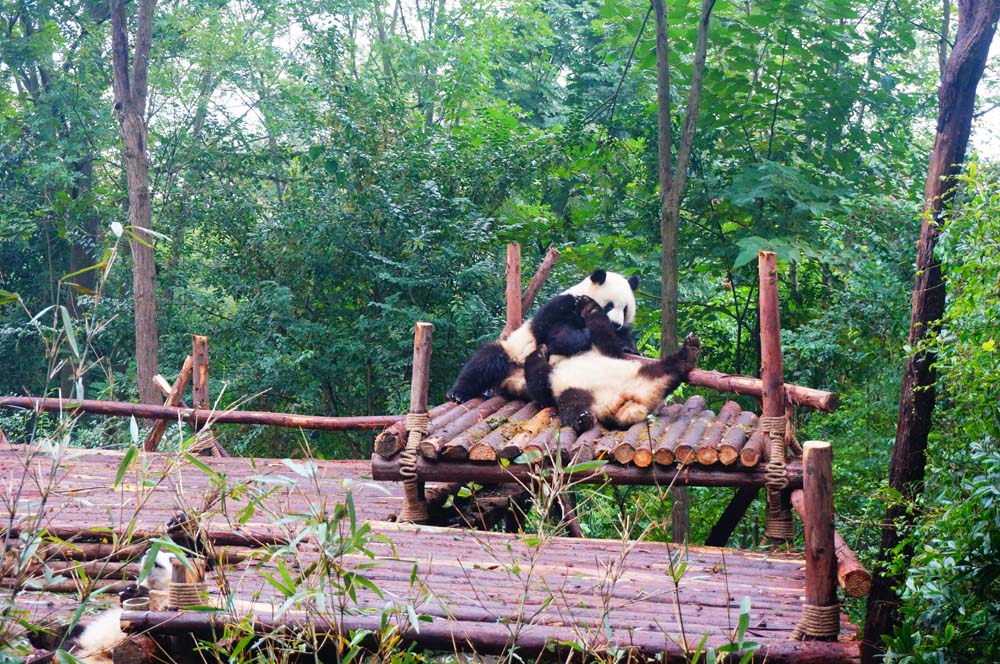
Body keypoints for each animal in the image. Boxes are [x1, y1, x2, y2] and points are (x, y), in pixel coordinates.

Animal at [448, 268, 640, 402]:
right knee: (484, 361)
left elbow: (623, 339)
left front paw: (630, 348)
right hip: (512, 351)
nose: (615, 324)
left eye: (625, 309)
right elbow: (554, 335)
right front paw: (583, 336)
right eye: (609, 305)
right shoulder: (562, 306)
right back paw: (458, 393)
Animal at [524, 296, 704, 436]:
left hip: (643, 374)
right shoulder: (554, 376)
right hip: (580, 391)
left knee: (669, 368)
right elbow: (540, 387)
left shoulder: (599, 350)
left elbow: (604, 335)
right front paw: (539, 351)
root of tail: (630, 402)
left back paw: (690, 349)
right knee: (573, 403)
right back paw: (583, 419)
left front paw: (588, 305)